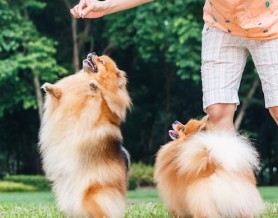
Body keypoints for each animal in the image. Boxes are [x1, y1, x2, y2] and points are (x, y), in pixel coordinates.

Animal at [38, 52, 132, 218]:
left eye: (101, 61)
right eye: (98, 55)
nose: (92, 53)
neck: (84, 79)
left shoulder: (101, 112)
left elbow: (100, 101)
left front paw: (95, 87)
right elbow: (60, 96)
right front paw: (51, 88)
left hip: (93, 193)